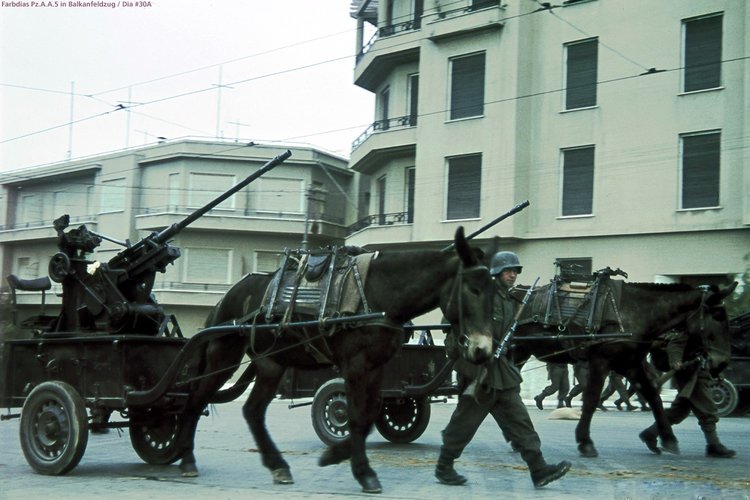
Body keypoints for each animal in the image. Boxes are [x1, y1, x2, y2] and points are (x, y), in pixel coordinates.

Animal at [176, 229, 496, 494]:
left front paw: (338, 454)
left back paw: (278, 466)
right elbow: (354, 415)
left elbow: (370, 414)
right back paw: (187, 458)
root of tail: (227, 297)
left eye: (494, 292)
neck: (379, 293)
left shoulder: (376, 367)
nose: (483, 349)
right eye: (472, 289)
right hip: (224, 357)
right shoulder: (355, 365)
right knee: (196, 399)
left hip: (271, 365)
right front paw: (362, 471)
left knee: (252, 411)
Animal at [508, 280, 736, 458]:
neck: (632, 312)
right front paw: (585, 441)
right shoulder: (600, 361)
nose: (722, 363)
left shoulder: (631, 365)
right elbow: (591, 399)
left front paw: (666, 438)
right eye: (717, 315)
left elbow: (653, 396)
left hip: (518, 352)